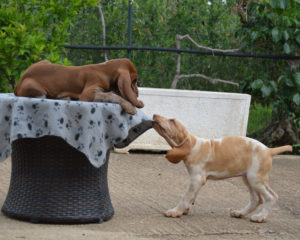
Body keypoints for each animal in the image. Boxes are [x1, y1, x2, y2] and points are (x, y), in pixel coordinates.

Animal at [14, 58, 144, 114]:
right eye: (134, 81)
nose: (138, 93)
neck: (104, 70)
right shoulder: (88, 95)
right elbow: (111, 95)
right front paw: (130, 107)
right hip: (36, 88)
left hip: (45, 61)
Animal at [154, 114, 292, 223]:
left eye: (172, 120)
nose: (154, 115)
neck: (193, 145)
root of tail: (269, 150)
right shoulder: (197, 181)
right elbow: (192, 196)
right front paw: (185, 210)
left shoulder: (196, 179)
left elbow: (186, 196)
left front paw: (175, 211)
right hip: (249, 178)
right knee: (256, 199)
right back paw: (240, 213)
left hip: (255, 179)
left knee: (271, 197)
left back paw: (260, 217)